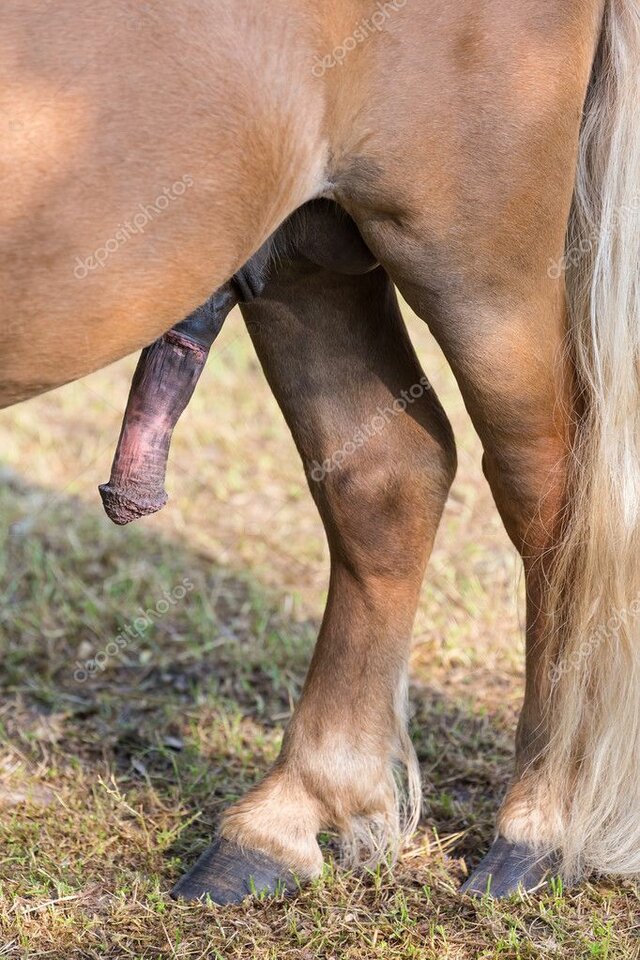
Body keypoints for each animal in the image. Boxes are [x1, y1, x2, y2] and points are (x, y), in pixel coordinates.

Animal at [1, 0, 639, 903]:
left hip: (478, 253)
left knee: (553, 491)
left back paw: (540, 823)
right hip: (306, 240)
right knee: (386, 474)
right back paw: (283, 820)